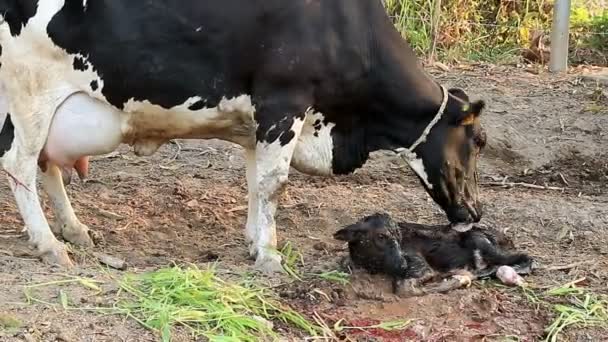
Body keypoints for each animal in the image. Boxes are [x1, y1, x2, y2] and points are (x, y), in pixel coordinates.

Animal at [0, 0, 486, 272]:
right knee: (19, 164)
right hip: (30, 91)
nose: (476, 212)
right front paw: (269, 255)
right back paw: (49, 245)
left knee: (45, 162)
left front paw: (255, 241)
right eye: (477, 142)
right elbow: (274, 184)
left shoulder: (259, 122)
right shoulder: (283, 102)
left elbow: (256, 184)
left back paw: (73, 229)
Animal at [332, 214, 532, 294]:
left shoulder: (421, 268)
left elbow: (406, 289)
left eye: (398, 236)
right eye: (381, 236)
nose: (403, 264)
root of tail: (504, 236)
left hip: (484, 244)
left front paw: (460, 279)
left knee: (527, 257)